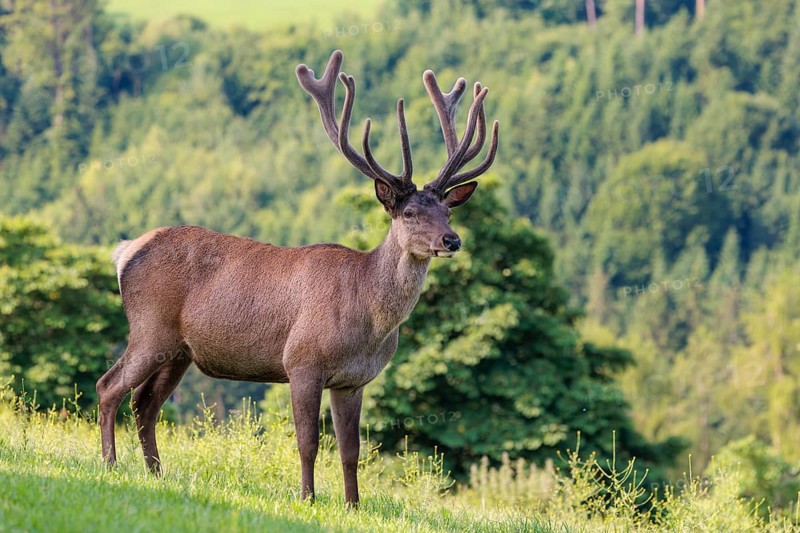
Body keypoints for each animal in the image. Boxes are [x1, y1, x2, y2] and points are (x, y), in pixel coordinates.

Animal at [96, 49, 498, 506]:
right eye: (410, 212)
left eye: (448, 211)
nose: (452, 240)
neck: (367, 318)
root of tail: (125, 251)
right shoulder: (302, 361)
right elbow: (308, 442)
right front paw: (307, 498)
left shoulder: (353, 381)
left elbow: (351, 450)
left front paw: (353, 505)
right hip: (150, 327)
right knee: (109, 387)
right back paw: (110, 464)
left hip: (178, 350)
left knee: (144, 404)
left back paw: (156, 473)